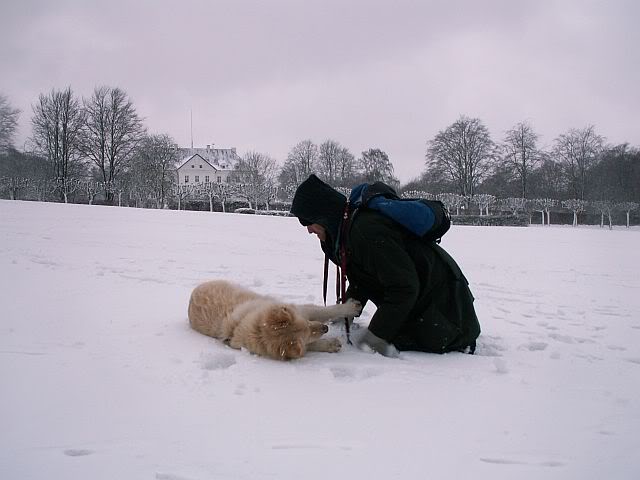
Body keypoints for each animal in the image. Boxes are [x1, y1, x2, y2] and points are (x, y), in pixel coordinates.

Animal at [188, 282, 362, 360]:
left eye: (306, 323)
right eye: (307, 333)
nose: (325, 329)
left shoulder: (302, 310)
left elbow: (327, 310)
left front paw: (351, 308)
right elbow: (311, 345)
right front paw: (331, 344)